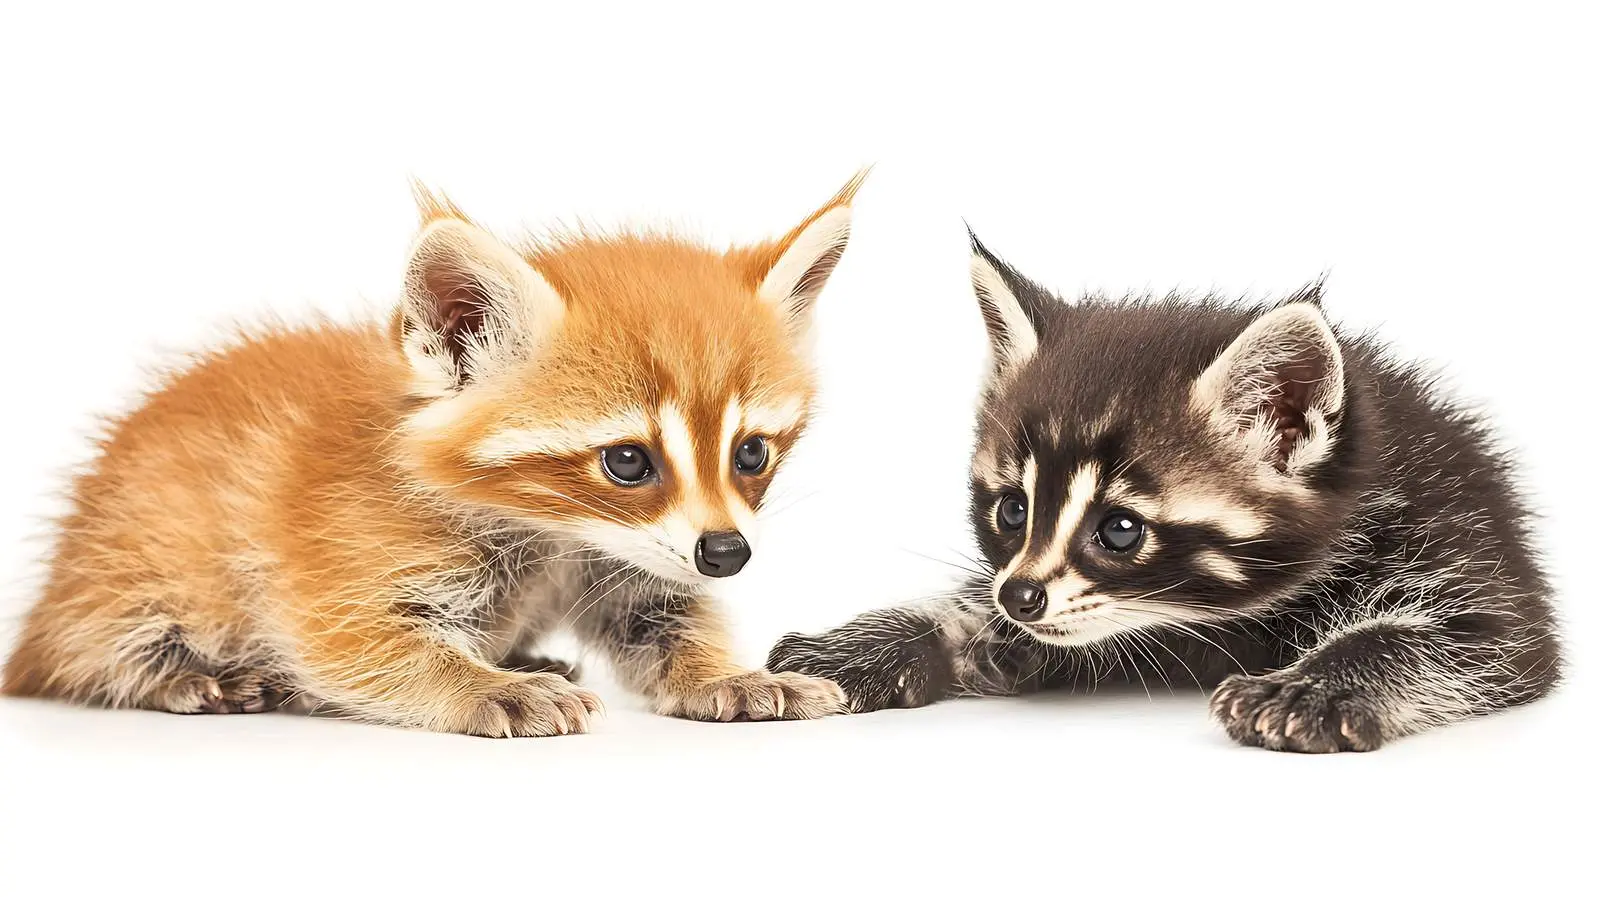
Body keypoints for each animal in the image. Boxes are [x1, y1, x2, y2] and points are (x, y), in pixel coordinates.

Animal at [3, 177, 865, 736]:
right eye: (627, 461)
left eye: (750, 452)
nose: (727, 552)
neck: (552, 533)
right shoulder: (334, 559)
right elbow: (357, 646)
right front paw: (481, 684)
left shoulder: (628, 563)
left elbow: (667, 616)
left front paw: (726, 673)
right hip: (130, 566)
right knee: (88, 649)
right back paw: (179, 674)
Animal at [768, 233, 1561, 752]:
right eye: (1013, 509)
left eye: (1121, 529)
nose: (1018, 597)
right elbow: (983, 621)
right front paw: (879, 638)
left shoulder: (1468, 555)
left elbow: (1449, 640)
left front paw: (1318, 682)